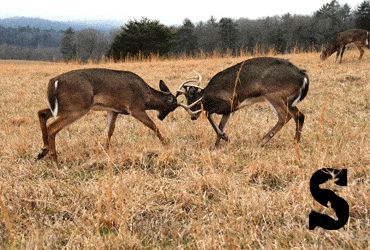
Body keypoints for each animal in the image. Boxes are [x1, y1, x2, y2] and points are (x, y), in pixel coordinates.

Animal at [37, 68, 178, 165]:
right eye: (172, 107)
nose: (161, 117)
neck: (147, 96)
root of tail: (54, 81)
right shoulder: (135, 107)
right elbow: (153, 126)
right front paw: (166, 143)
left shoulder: (114, 110)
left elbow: (109, 130)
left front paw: (106, 149)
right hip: (77, 106)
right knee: (52, 128)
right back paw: (55, 162)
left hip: (63, 107)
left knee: (42, 112)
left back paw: (43, 151)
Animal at [176, 57, 310, 147]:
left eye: (192, 102)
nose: (193, 117)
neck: (209, 94)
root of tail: (303, 75)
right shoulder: (228, 110)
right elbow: (221, 125)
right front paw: (217, 145)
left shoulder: (228, 103)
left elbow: (209, 116)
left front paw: (225, 137)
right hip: (289, 100)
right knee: (299, 116)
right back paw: (295, 142)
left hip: (274, 95)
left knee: (284, 116)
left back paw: (261, 142)